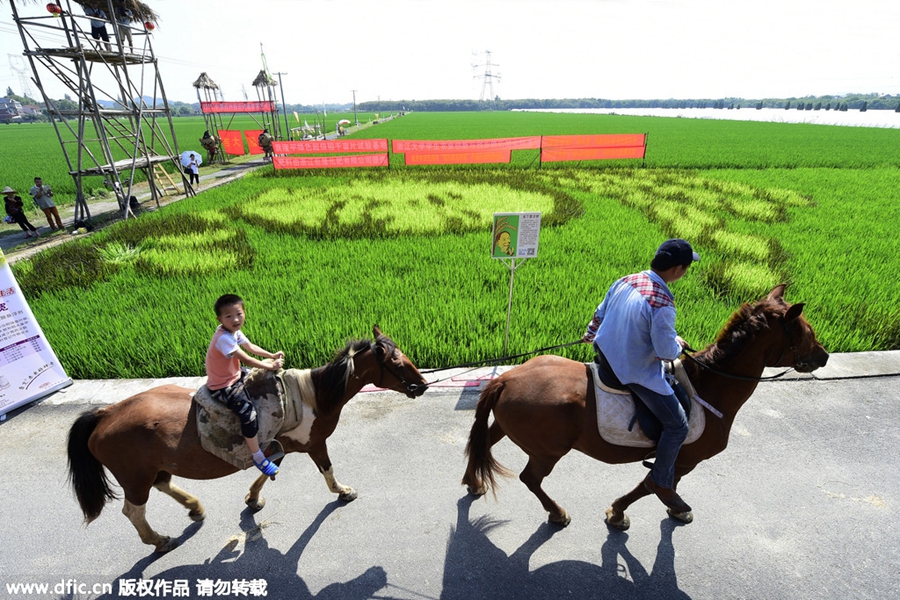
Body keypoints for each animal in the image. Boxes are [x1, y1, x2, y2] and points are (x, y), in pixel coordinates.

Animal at [67, 328, 426, 552]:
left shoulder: (279, 444)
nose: (422, 385)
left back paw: (194, 507)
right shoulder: (313, 443)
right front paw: (343, 491)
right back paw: (159, 541)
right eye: (396, 361)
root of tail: (106, 413)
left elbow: (267, 468)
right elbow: (326, 469)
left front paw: (253, 498)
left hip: (152, 467)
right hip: (134, 476)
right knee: (133, 510)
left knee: (163, 483)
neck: (312, 396)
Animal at [464, 286, 828, 528]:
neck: (709, 386)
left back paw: (473, 481)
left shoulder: (678, 457)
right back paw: (556, 512)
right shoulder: (683, 457)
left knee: (483, 443)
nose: (823, 355)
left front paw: (651, 508)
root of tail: (507, 378)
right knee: (530, 478)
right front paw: (626, 512)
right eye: (806, 331)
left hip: (507, 426)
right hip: (548, 450)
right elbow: (653, 485)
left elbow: (652, 485)